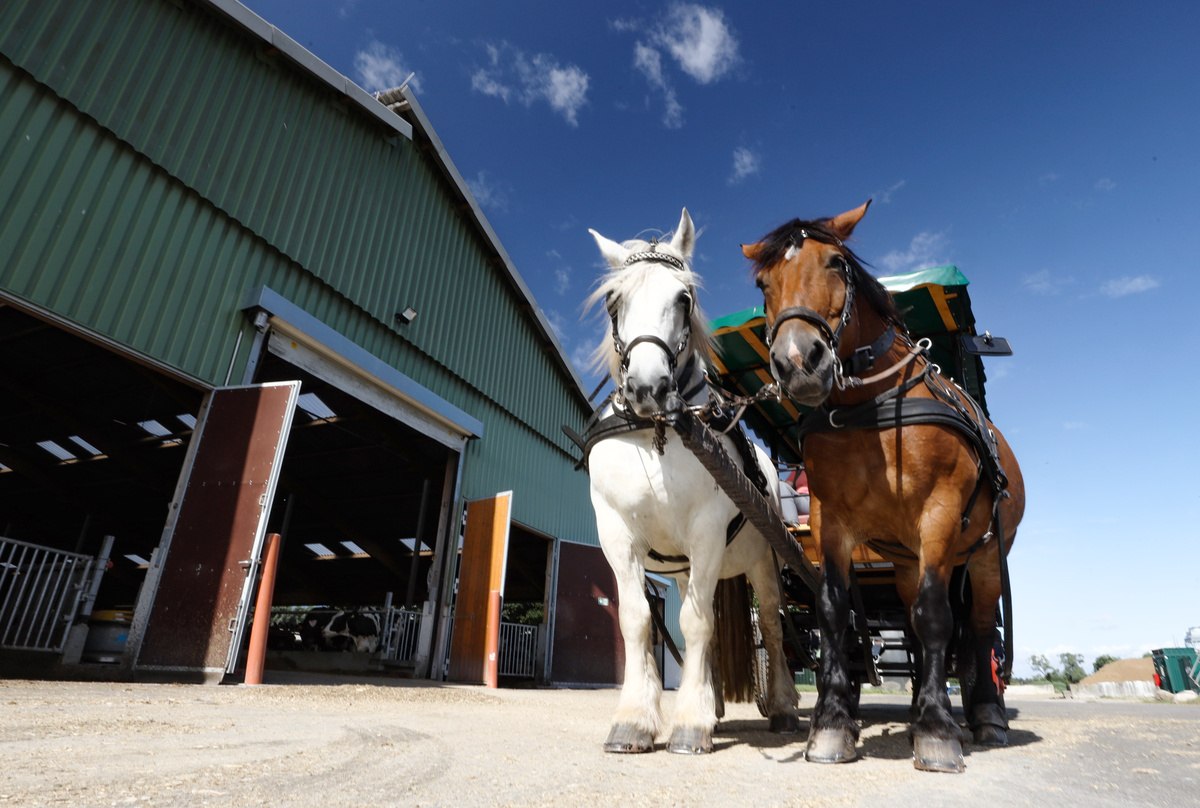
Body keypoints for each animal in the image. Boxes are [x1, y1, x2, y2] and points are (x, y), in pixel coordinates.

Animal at [585, 211, 801, 753]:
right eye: (613, 300)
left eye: (684, 298)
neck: (653, 434)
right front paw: (636, 719)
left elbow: (696, 624)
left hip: (763, 561)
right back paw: (713, 704)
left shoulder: (707, 531)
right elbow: (638, 619)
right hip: (684, 569)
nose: (648, 388)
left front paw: (688, 724)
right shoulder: (616, 532)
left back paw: (782, 706)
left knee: (771, 623)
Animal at [744, 200, 1027, 768]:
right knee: (916, 631)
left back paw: (984, 714)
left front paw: (938, 730)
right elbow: (836, 610)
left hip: (986, 552)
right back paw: (921, 706)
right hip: (906, 559)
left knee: (976, 626)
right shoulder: (831, 520)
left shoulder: (940, 512)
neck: (869, 410)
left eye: (835, 263)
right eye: (764, 283)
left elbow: (939, 615)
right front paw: (832, 722)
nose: (798, 360)